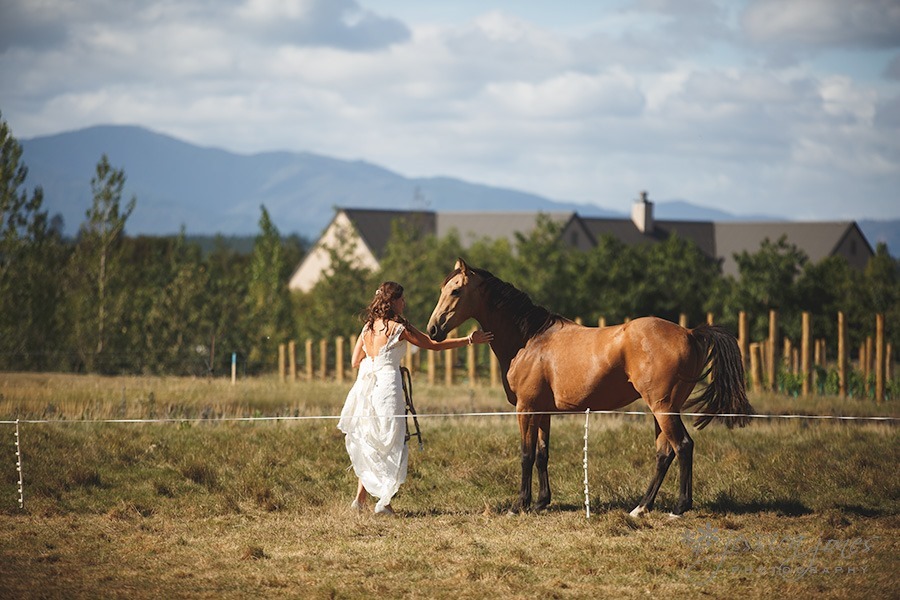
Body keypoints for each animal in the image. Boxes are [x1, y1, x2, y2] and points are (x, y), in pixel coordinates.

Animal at [426, 258, 748, 516]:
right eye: (441, 290)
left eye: (455, 291)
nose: (433, 329)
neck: (530, 339)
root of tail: (690, 333)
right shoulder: (543, 411)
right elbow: (542, 454)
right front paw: (541, 502)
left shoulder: (526, 409)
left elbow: (526, 455)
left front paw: (519, 505)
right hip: (665, 409)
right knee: (664, 454)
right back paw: (641, 508)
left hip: (663, 407)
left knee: (683, 447)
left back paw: (679, 508)